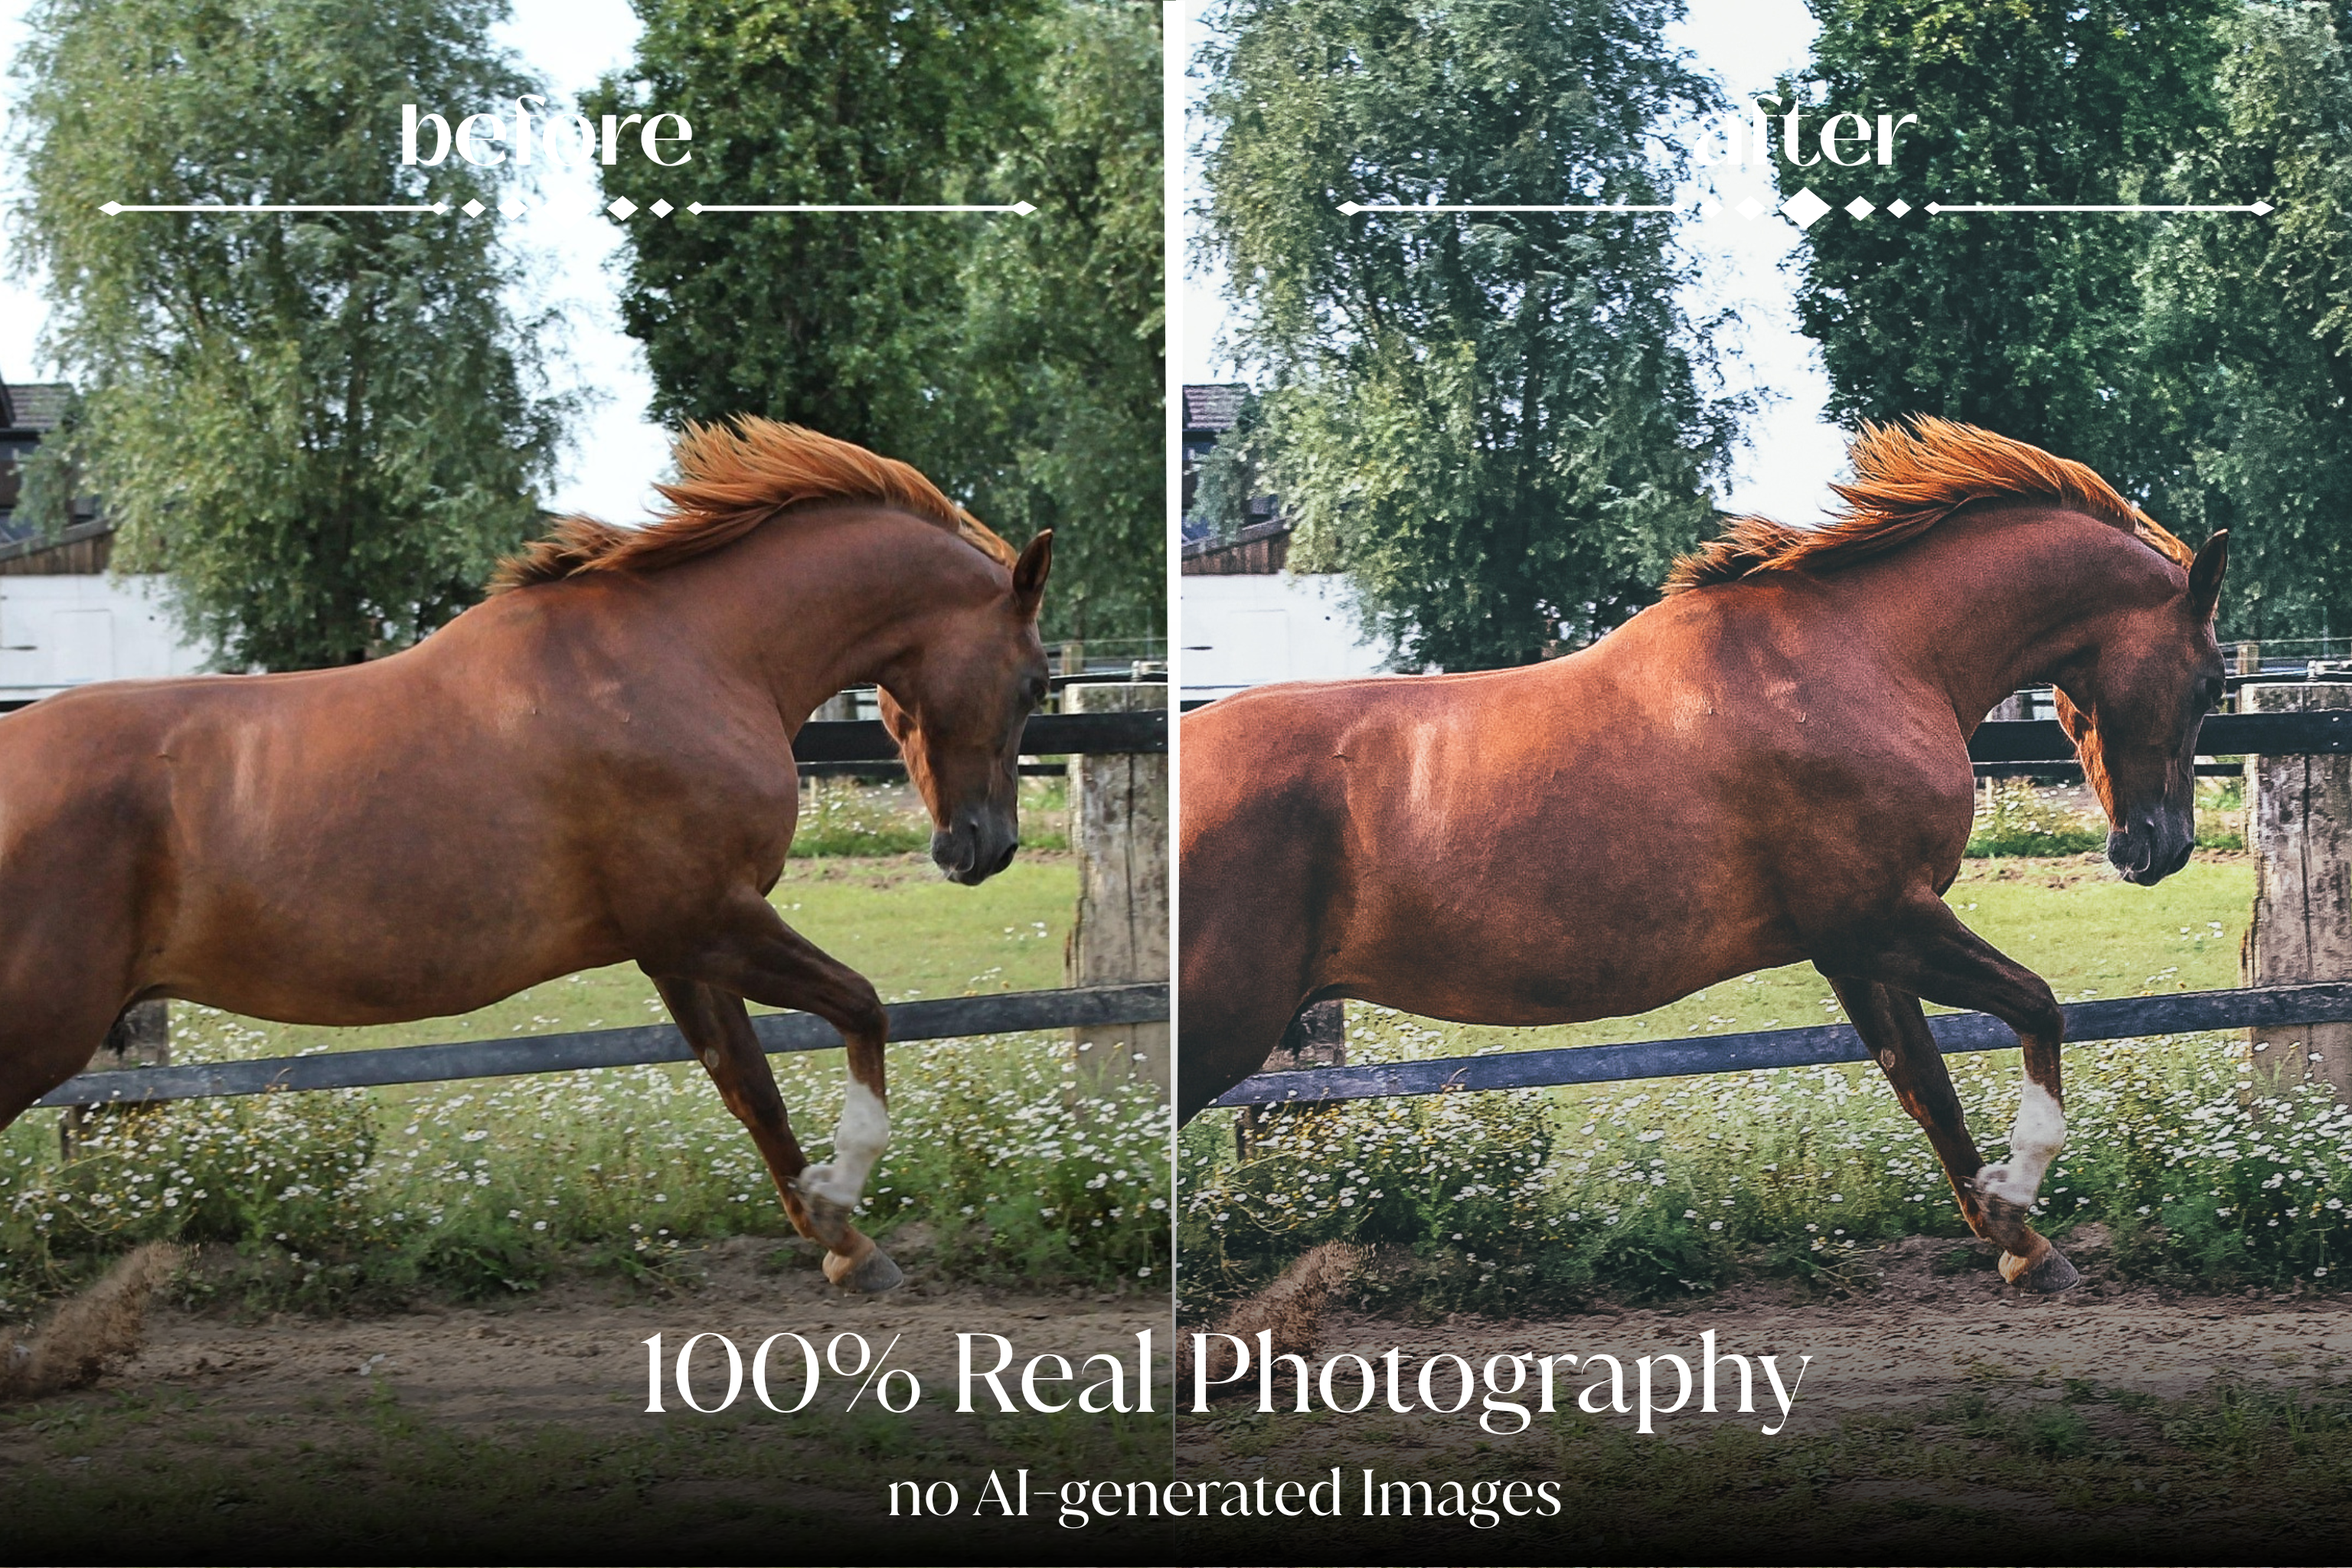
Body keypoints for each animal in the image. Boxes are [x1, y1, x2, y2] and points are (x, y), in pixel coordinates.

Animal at [0, 418, 1053, 1295]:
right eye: (1038, 681)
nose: (984, 846)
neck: (694, 657)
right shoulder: (708, 918)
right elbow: (864, 1008)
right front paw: (843, 1192)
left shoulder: (678, 949)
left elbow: (752, 1090)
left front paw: (845, 1244)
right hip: (41, 1026)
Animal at [1177, 418, 2229, 1294]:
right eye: (2213, 680)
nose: (2158, 847)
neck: (1869, 657)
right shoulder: (1884, 918)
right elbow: (2040, 1008)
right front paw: (2020, 1192)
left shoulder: (1856, 949)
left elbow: (1929, 1091)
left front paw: (2022, 1246)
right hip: (1220, 1023)